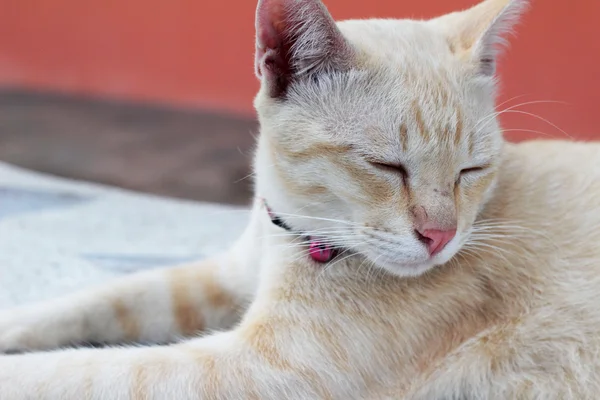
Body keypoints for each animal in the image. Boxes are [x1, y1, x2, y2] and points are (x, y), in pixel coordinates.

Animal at [1, 0, 600, 398]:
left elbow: (86, 371)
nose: (440, 237)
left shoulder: (261, 371)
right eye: (386, 166)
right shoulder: (225, 277)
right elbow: (109, 296)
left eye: (470, 171)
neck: (292, 236)